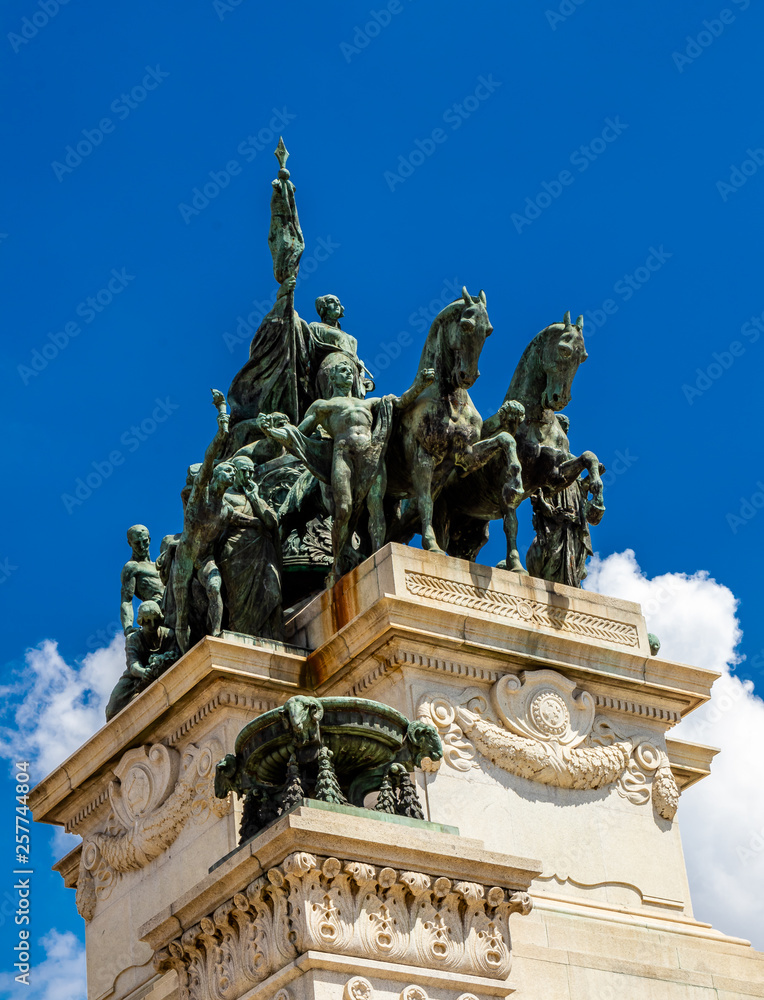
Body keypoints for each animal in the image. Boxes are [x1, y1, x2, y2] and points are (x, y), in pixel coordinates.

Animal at [384, 290, 524, 552]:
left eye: (488, 330)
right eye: (466, 325)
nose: (467, 376)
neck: (451, 402)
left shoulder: (465, 456)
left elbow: (505, 438)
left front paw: (514, 483)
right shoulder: (423, 457)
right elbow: (425, 502)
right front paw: (431, 545)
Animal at [442, 308, 604, 576]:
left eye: (583, 357)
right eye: (564, 350)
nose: (560, 399)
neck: (538, 421)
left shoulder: (554, 478)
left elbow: (588, 457)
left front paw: (596, 504)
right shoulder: (505, 486)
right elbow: (511, 523)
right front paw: (516, 566)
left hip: (470, 530)